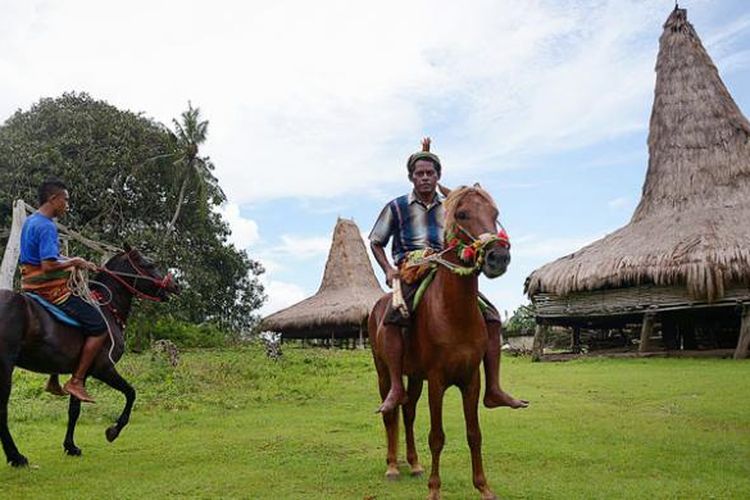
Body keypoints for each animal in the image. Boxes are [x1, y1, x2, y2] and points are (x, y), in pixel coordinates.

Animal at [0, 248, 179, 466]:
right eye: (148, 264)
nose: (175, 285)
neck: (107, 309)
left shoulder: (80, 374)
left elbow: (74, 410)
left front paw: (70, 446)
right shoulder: (103, 368)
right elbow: (131, 393)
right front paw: (113, 431)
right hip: (5, 368)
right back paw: (15, 456)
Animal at [368, 185, 512, 500]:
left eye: (495, 213)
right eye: (462, 214)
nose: (498, 257)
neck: (453, 313)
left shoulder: (471, 380)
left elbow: (474, 434)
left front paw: (483, 487)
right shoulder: (437, 380)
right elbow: (437, 437)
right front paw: (434, 489)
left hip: (414, 376)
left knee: (408, 411)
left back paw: (414, 464)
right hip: (384, 372)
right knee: (391, 412)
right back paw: (392, 466)